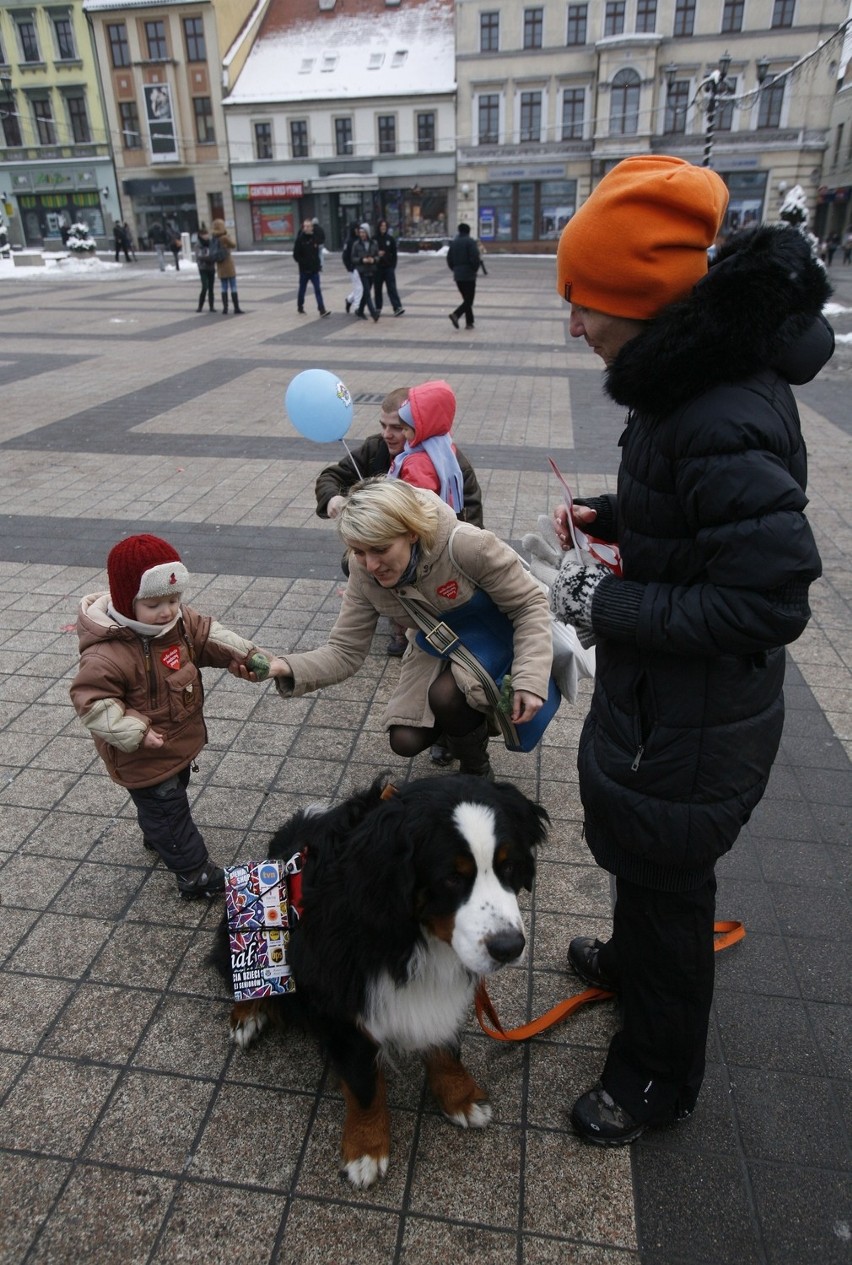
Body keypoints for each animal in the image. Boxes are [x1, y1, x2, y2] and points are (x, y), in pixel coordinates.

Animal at [208, 769, 548, 1184]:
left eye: (509, 866)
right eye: (451, 878)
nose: (509, 947)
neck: (410, 935)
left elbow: (445, 1048)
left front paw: (461, 1097)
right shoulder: (343, 1001)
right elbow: (364, 1085)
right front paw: (366, 1149)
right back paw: (248, 1015)